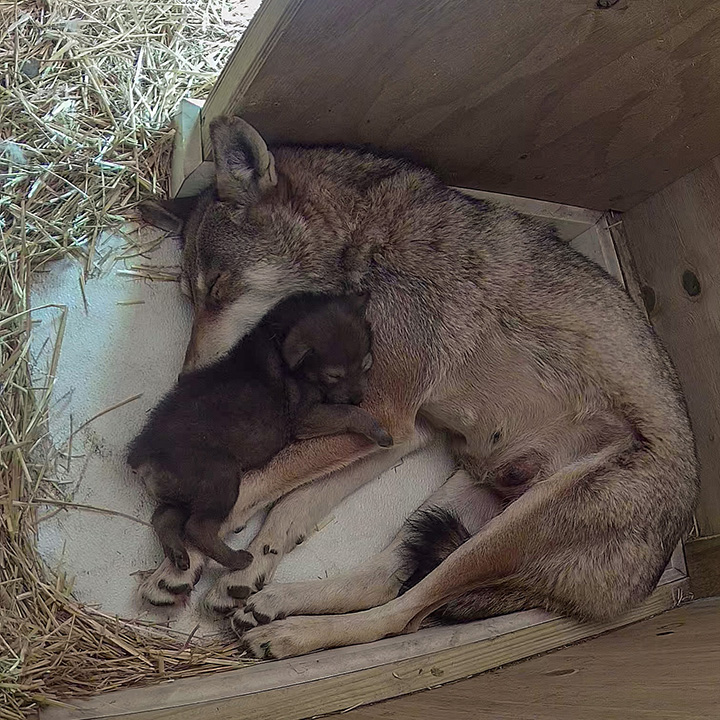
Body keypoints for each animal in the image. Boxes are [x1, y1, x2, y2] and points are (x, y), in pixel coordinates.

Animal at [139, 116, 696, 660]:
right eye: (190, 297)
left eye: (219, 289)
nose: (185, 379)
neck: (365, 240)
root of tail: (654, 572)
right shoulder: (400, 432)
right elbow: (287, 503)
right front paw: (235, 568)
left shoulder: (385, 415)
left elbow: (255, 484)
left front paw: (185, 555)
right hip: (448, 506)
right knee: (385, 583)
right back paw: (276, 603)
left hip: (503, 531)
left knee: (402, 616)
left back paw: (292, 634)